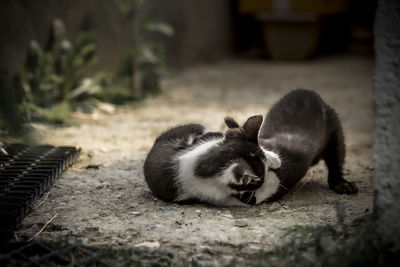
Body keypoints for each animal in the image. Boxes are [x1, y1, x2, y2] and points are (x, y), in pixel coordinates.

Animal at [144, 116, 282, 206]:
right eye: (257, 182)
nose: (269, 174)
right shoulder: (214, 196)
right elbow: (247, 201)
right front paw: (273, 180)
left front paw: (273, 159)